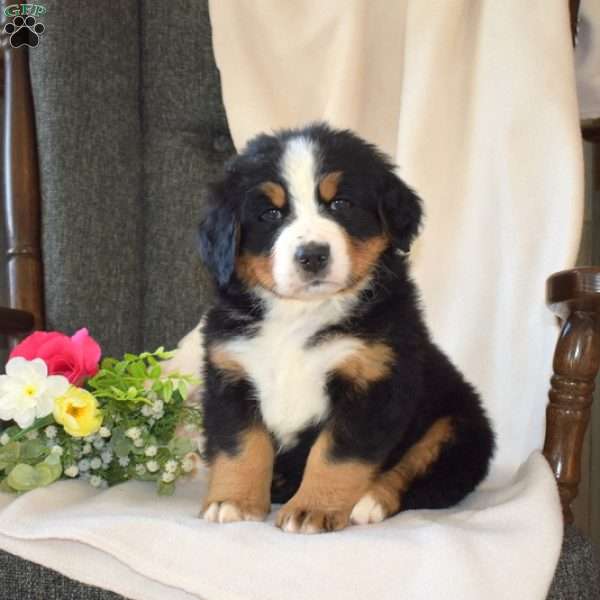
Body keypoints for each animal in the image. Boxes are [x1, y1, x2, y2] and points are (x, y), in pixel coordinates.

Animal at [196, 123, 492, 536]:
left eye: (340, 204)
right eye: (270, 213)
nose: (312, 255)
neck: (300, 315)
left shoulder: (375, 381)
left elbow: (336, 454)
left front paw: (312, 509)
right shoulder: (230, 375)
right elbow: (241, 446)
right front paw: (233, 501)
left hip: (457, 424)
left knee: (421, 474)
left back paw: (370, 501)